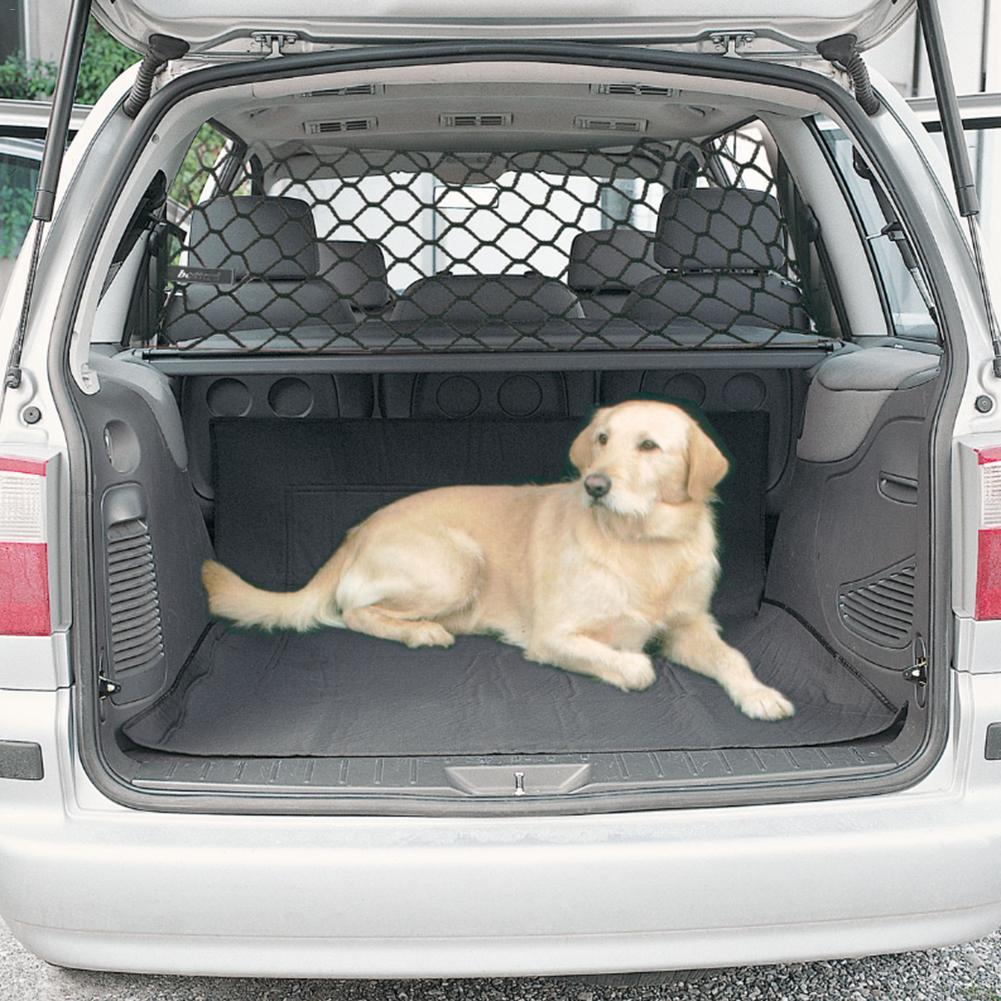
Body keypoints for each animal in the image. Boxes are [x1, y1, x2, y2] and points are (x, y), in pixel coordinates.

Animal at [203, 398, 792, 720]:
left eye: (649, 446)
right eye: (602, 439)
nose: (594, 484)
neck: (640, 544)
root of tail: (359, 529)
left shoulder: (690, 626)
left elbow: (732, 659)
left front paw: (760, 694)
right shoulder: (554, 635)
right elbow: (630, 662)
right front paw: (632, 667)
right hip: (456, 562)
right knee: (353, 611)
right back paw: (421, 632)